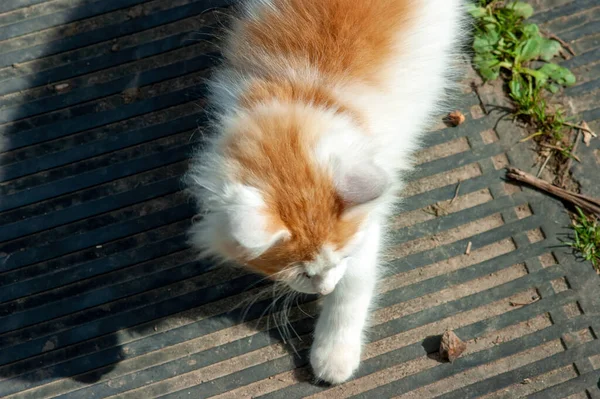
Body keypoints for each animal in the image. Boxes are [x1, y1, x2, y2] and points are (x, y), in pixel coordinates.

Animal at [185, 0, 466, 386]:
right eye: (302, 274)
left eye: (337, 261)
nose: (324, 290)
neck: (304, 96)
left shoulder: (366, 228)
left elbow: (354, 289)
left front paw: (335, 354)